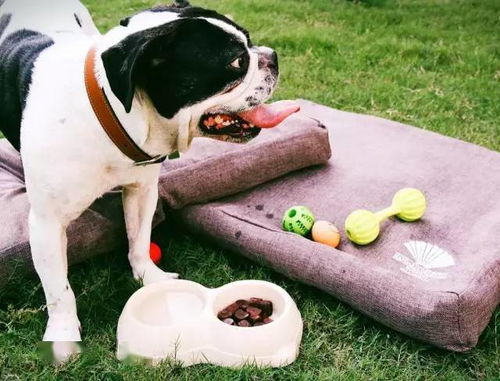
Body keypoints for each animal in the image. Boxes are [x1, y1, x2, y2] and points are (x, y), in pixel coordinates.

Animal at [0, 0, 296, 360]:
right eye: (237, 62)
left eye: (250, 42)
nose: (272, 56)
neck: (110, 111)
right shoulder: (47, 225)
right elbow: (59, 289)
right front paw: (63, 336)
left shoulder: (142, 192)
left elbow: (139, 241)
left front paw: (150, 278)